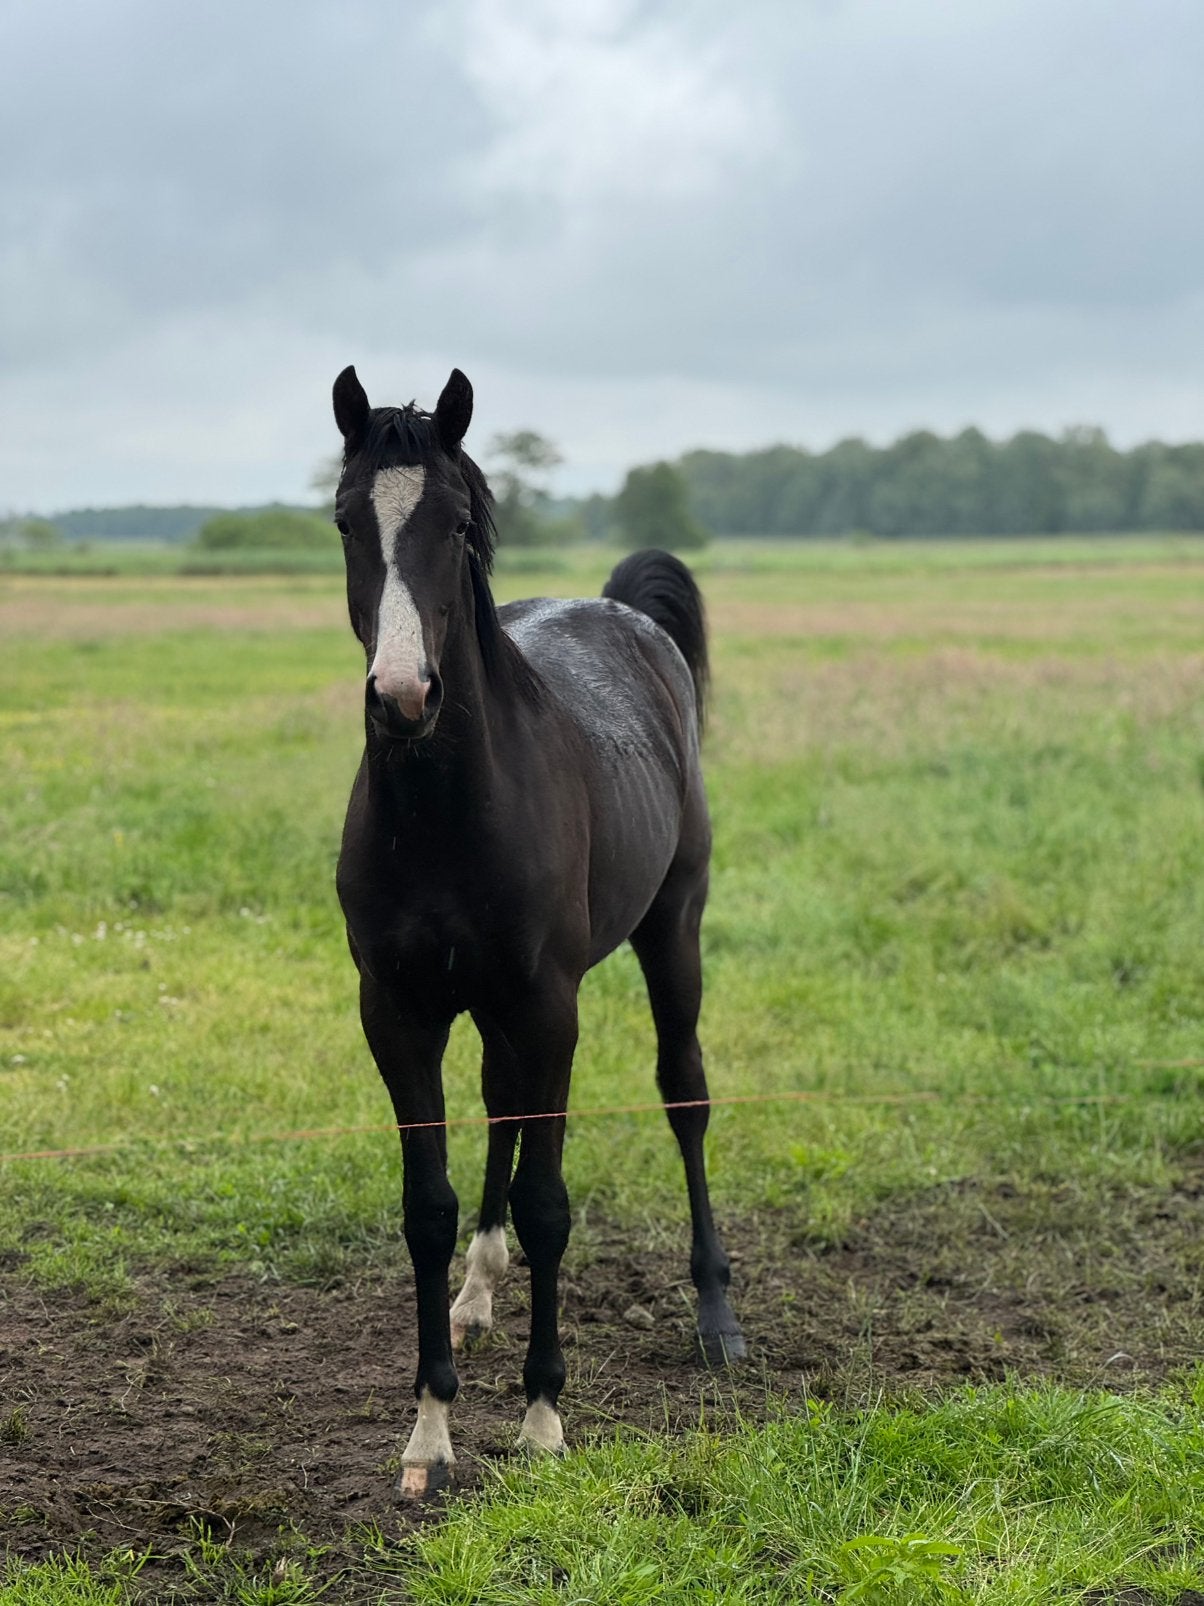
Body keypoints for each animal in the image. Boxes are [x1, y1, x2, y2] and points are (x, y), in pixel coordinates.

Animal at [330, 364, 745, 1497]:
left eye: (460, 522)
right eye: (344, 518)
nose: (403, 696)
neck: (447, 809)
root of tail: (627, 615)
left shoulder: (548, 1004)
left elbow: (553, 1202)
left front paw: (542, 1416)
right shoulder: (400, 1011)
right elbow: (425, 1206)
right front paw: (429, 1427)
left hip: (672, 929)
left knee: (683, 1093)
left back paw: (715, 1312)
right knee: (502, 1105)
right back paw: (478, 1290)